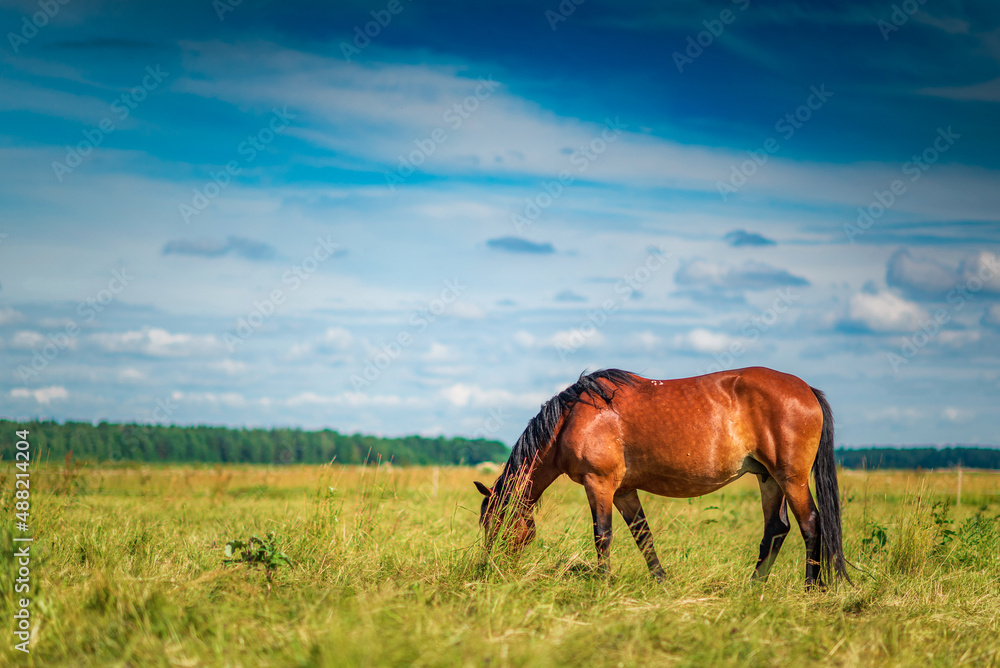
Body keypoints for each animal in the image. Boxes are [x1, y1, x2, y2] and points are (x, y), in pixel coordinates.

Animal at [476, 368, 852, 588]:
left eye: (496, 524)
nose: (489, 570)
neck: (574, 417)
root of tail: (806, 389)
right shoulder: (624, 490)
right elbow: (643, 536)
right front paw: (661, 581)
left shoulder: (599, 483)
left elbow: (602, 535)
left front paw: (602, 583)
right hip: (769, 479)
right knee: (776, 529)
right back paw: (754, 585)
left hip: (791, 478)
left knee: (810, 524)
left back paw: (810, 588)